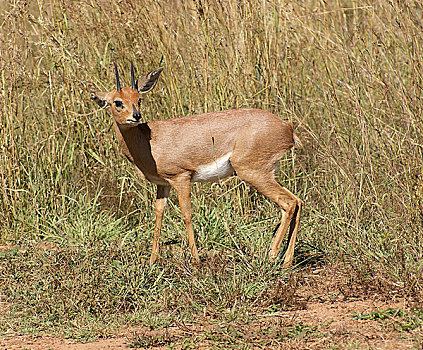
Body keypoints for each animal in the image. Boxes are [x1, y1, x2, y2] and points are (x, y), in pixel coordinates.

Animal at [91, 61, 304, 266]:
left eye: (139, 99)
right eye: (118, 102)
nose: (136, 116)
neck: (148, 140)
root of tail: (288, 128)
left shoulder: (181, 177)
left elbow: (186, 215)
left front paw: (195, 259)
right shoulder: (163, 184)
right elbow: (159, 214)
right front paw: (151, 260)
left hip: (253, 172)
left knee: (289, 202)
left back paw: (272, 255)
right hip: (266, 173)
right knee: (298, 201)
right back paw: (286, 261)